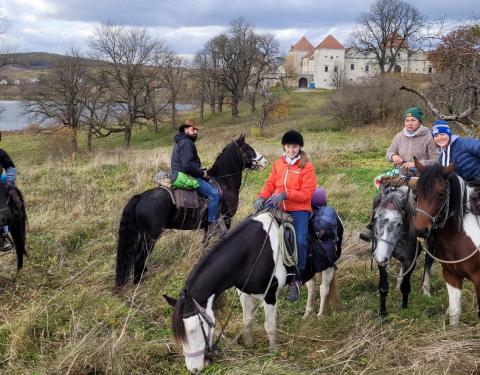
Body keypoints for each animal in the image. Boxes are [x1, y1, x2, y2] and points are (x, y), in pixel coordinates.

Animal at [115, 135, 268, 288]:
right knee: (140, 256)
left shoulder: (208, 226)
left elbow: (205, 243)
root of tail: (141, 196)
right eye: (249, 149)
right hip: (151, 236)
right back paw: (138, 281)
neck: (224, 183)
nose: (265, 162)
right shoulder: (226, 219)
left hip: (144, 235)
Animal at [163, 213, 344, 374]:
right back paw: (307, 314)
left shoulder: (269, 295)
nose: (194, 369)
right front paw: (249, 345)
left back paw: (320, 315)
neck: (250, 255)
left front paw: (273, 352)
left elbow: (269, 326)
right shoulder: (243, 293)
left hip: (328, 265)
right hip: (307, 272)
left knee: (324, 288)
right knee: (311, 286)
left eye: (193, 330)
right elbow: (247, 321)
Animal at [372, 187, 436, 318]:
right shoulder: (382, 262)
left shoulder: (410, 261)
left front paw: (405, 307)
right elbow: (383, 287)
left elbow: (406, 286)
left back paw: (426, 290)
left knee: (428, 262)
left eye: (399, 223)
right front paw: (382, 313)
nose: (380, 256)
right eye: (375, 218)